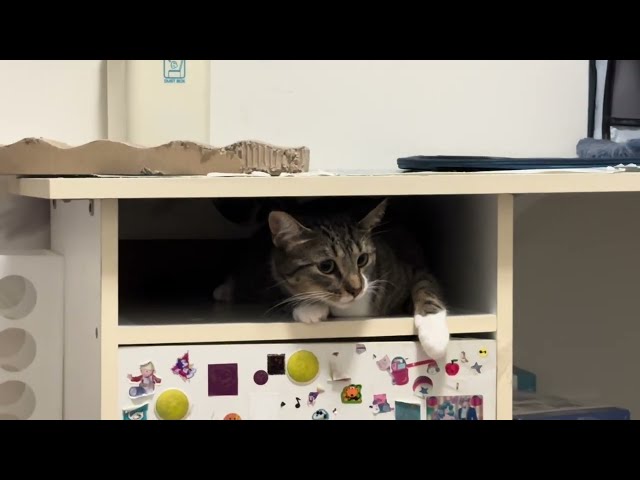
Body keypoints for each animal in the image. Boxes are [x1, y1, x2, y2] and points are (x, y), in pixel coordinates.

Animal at [215, 197, 450, 358]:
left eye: (362, 259)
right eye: (326, 266)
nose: (356, 289)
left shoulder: (411, 268)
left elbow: (426, 287)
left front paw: (435, 336)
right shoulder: (268, 277)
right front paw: (310, 307)